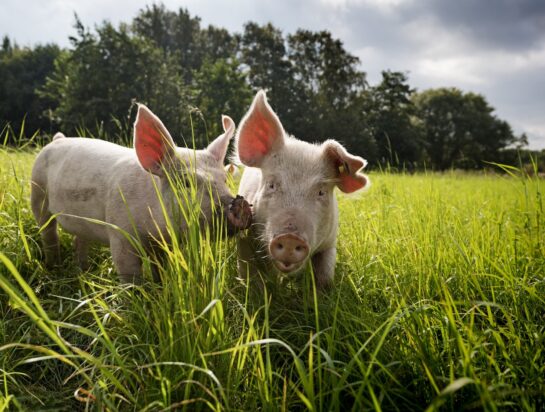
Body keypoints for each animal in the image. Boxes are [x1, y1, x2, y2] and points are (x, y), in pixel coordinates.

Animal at [33, 104, 254, 284]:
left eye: (224, 180)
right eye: (185, 183)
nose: (238, 204)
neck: (155, 232)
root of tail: (57, 139)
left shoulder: (163, 245)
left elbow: (161, 270)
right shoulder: (120, 234)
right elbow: (129, 274)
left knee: (80, 239)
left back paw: (83, 270)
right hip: (37, 192)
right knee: (48, 232)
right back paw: (53, 267)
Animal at [235, 90, 370, 290]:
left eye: (321, 192)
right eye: (271, 185)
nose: (290, 238)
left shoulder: (329, 242)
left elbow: (324, 275)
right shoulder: (243, 237)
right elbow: (249, 274)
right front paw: (257, 291)